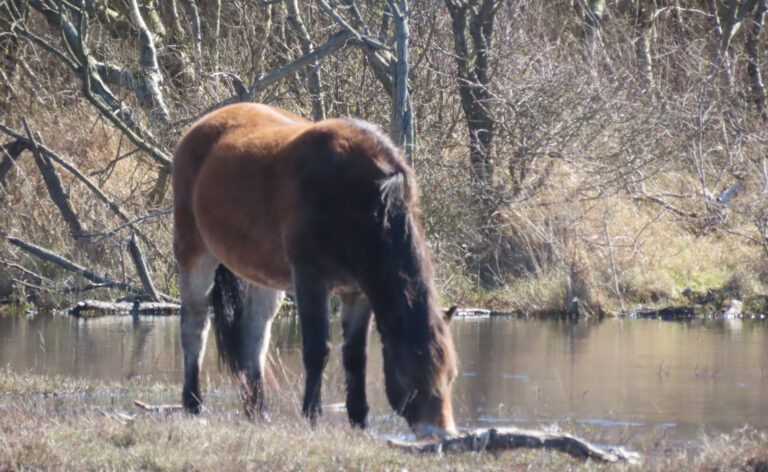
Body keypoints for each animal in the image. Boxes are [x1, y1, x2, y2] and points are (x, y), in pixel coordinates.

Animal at [172, 104, 456, 438]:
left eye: (451, 376)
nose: (444, 433)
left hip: (263, 277)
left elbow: (355, 356)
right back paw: (193, 404)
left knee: (254, 337)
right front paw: (312, 414)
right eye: (411, 375)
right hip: (194, 253)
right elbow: (317, 349)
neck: (361, 198)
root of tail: (200, 127)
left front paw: (359, 420)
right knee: (194, 326)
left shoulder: (357, 292)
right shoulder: (311, 279)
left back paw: (258, 411)